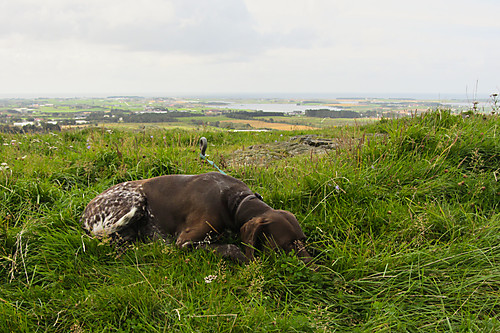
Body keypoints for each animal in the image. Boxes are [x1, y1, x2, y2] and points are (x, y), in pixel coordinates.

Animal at [82, 171, 312, 264]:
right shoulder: (184, 242)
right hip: (135, 203)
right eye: (286, 245)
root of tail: (84, 213)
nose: (315, 267)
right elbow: (233, 247)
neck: (234, 202)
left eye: (302, 240)